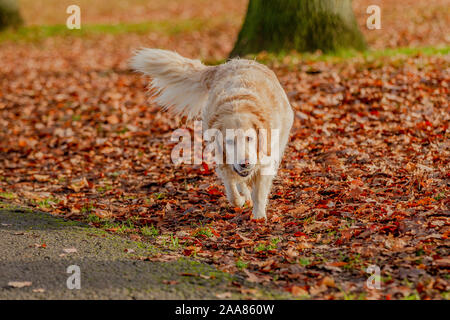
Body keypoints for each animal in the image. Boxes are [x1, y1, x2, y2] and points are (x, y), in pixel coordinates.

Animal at [128, 49, 294, 220]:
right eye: (229, 141)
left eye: (250, 138)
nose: (245, 163)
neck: (238, 106)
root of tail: (230, 63)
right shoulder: (223, 158)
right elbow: (232, 192)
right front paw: (242, 200)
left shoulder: (265, 159)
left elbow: (259, 192)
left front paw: (258, 216)